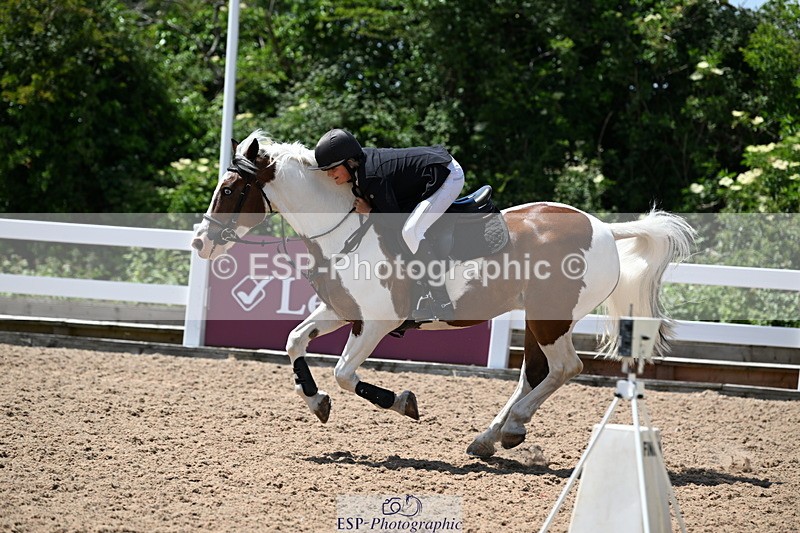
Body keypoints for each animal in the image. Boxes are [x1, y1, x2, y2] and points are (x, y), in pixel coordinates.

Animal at [191, 130, 695, 457]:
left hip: (550, 317)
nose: (201, 243)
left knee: (565, 368)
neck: (342, 228)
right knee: (535, 373)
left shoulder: (376, 322)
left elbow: (344, 373)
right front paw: (317, 403)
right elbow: (295, 342)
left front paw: (402, 403)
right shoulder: (341, 310)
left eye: (230, 189)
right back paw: (493, 436)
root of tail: (605, 228)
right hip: (538, 316)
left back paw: (508, 429)